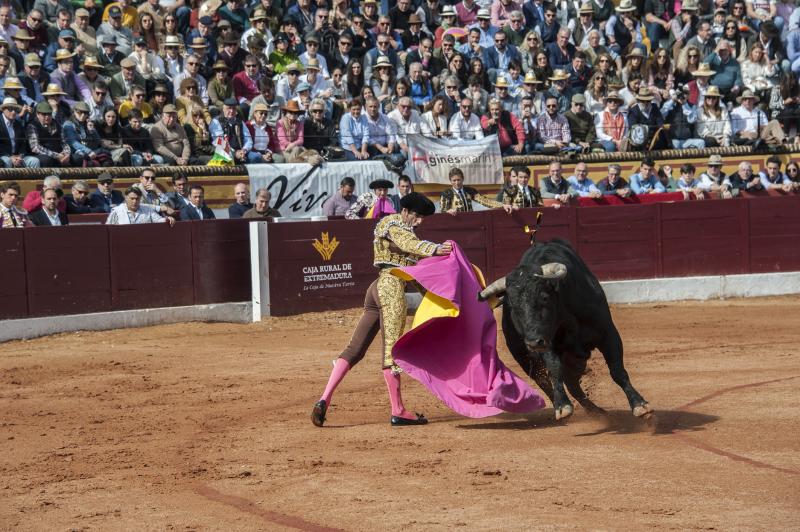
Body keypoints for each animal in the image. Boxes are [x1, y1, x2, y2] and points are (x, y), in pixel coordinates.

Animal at [478, 240, 652, 420]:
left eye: (544, 297)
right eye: (512, 305)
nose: (533, 343)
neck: (567, 320)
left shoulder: (608, 333)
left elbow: (617, 369)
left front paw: (639, 404)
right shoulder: (546, 343)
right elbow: (555, 371)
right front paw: (563, 406)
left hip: (575, 359)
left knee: (572, 383)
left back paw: (596, 411)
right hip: (524, 357)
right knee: (546, 383)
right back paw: (564, 406)